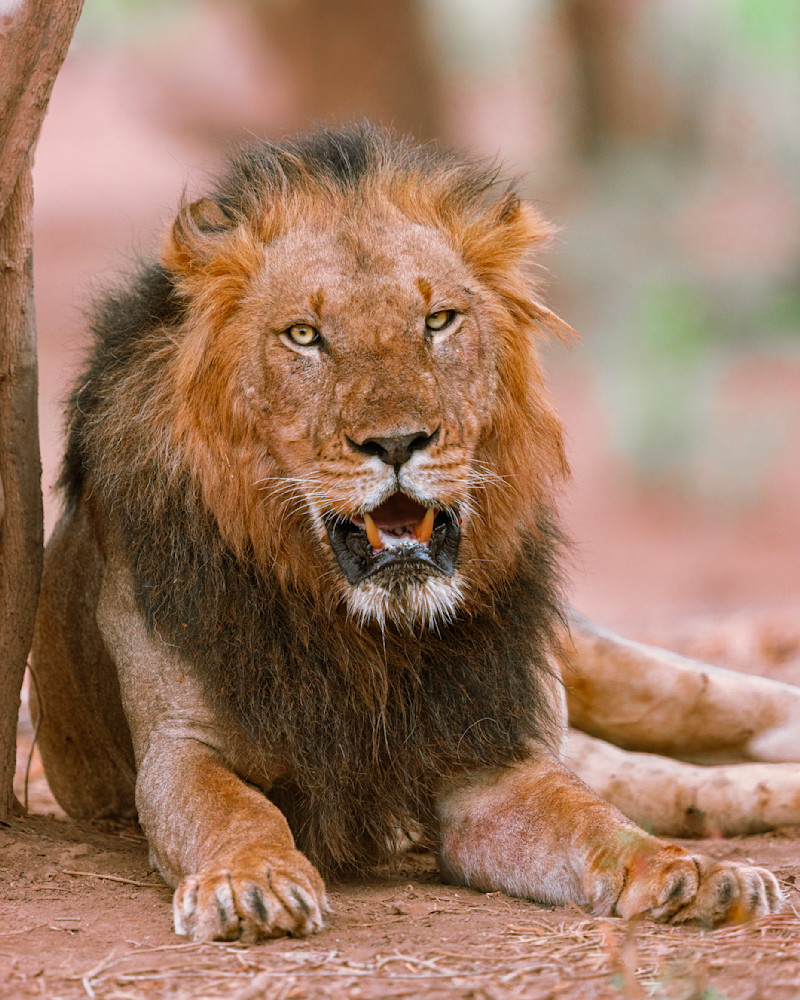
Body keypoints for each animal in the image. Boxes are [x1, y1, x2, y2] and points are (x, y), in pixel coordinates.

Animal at [31, 124, 785, 943]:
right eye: (304, 336)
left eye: (438, 321)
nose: (397, 442)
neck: (370, 633)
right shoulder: (177, 748)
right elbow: (234, 810)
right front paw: (250, 881)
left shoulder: (490, 753)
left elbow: (596, 822)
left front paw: (692, 872)